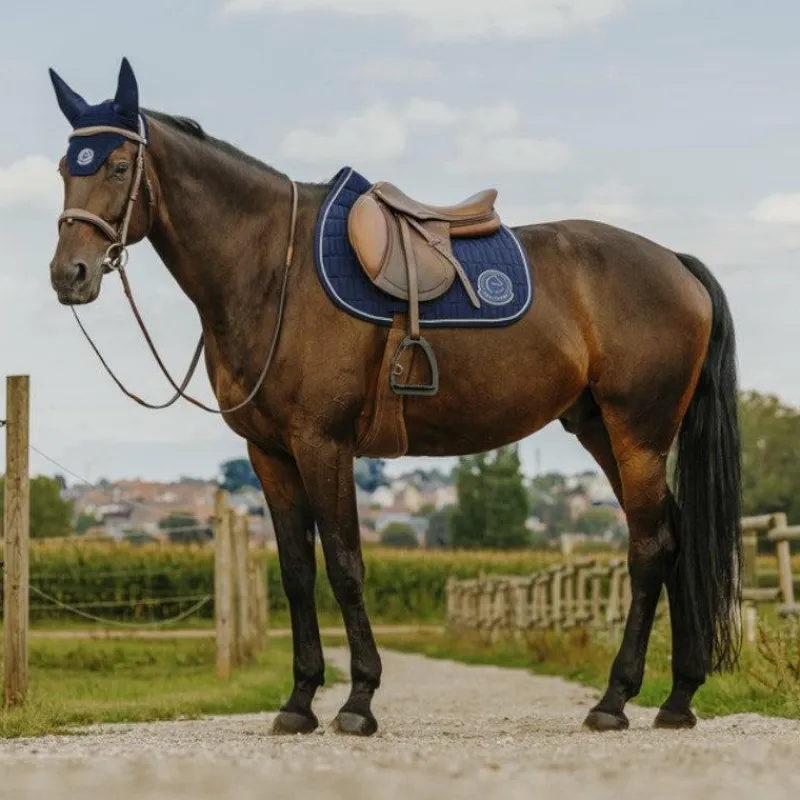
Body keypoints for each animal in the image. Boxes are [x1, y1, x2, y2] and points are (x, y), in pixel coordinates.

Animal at [46, 57, 742, 737]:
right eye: (63, 168)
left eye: (117, 165)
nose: (68, 274)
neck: (274, 269)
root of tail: (675, 263)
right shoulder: (270, 453)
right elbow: (296, 574)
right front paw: (299, 701)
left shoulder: (322, 445)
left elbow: (345, 565)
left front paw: (358, 700)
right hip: (601, 430)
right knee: (674, 539)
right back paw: (678, 697)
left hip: (638, 434)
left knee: (649, 550)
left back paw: (615, 700)